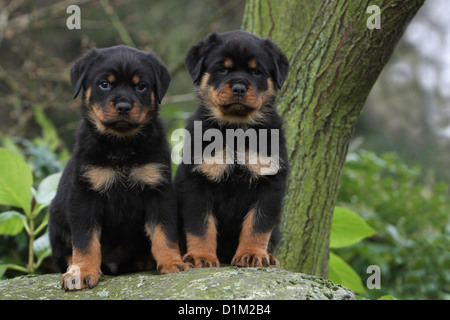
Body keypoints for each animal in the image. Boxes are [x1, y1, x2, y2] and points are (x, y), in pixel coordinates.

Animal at [48, 45, 191, 290]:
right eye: (104, 84)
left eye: (141, 86)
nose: (124, 106)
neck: (122, 145)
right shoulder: (84, 196)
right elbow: (85, 241)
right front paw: (83, 271)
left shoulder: (158, 191)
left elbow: (164, 232)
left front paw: (172, 262)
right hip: (56, 222)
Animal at [174, 31, 290, 268]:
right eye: (222, 69)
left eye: (256, 71)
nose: (238, 88)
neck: (236, 130)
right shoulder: (196, 180)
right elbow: (201, 226)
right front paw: (202, 257)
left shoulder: (270, 182)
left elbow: (257, 225)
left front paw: (252, 254)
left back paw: (270, 257)